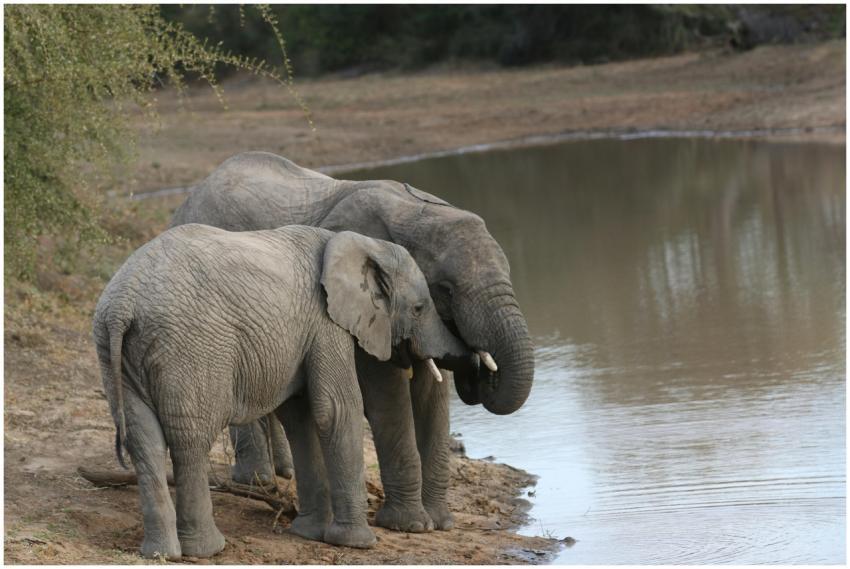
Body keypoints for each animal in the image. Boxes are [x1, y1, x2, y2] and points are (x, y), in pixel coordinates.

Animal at [93, 224, 466, 559]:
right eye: (419, 308)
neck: (360, 242)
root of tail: (123, 304)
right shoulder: (325, 322)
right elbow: (336, 409)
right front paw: (357, 544)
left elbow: (300, 416)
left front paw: (308, 534)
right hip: (191, 350)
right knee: (190, 441)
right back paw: (206, 550)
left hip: (118, 355)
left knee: (144, 442)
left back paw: (161, 554)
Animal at [170, 151, 535, 532]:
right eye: (446, 288)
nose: (478, 369)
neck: (414, 211)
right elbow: (387, 394)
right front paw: (410, 526)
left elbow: (431, 397)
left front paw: (440, 523)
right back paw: (258, 482)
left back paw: (283, 473)